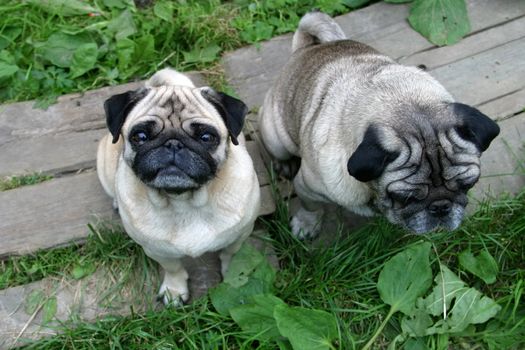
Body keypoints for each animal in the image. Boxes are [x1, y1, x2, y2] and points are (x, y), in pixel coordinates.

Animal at [96, 67, 260, 304]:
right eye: (140, 136)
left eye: (206, 137)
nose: (173, 143)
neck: (183, 201)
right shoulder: (157, 250)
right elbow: (172, 268)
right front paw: (174, 290)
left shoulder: (241, 234)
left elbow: (231, 254)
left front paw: (233, 276)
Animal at [258, 12, 500, 239]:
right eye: (405, 198)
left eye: (468, 185)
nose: (441, 207)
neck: (398, 97)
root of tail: (305, 48)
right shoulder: (307, 189)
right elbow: (312, 207)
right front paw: (307, 224)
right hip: (275, 136)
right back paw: (284, 164)